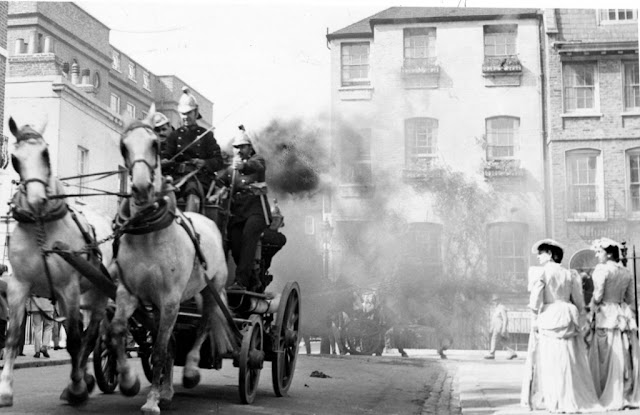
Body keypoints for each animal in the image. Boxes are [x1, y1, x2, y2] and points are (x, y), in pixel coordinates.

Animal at [0, 118, 114, 408]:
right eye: (15, 159)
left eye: (45, 153)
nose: (37, 200)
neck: (42, 225)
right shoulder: (19, 286)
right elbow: (12, 337)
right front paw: (5, 390)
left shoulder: (68, 287)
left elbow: (74, 340)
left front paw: (76, 387)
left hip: (97, 293)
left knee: (91, 335)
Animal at [110, 108, 235, 415]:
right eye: (123, 146)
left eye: (155, 144)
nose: (141, 187)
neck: (148, 232)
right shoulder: (129, 292)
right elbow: (119, 331)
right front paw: (129, 381)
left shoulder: (170, 299)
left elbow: (159, 348)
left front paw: (152, 400)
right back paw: (168, 389)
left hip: (212, 289)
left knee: (204, 325)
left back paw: (190, 371)